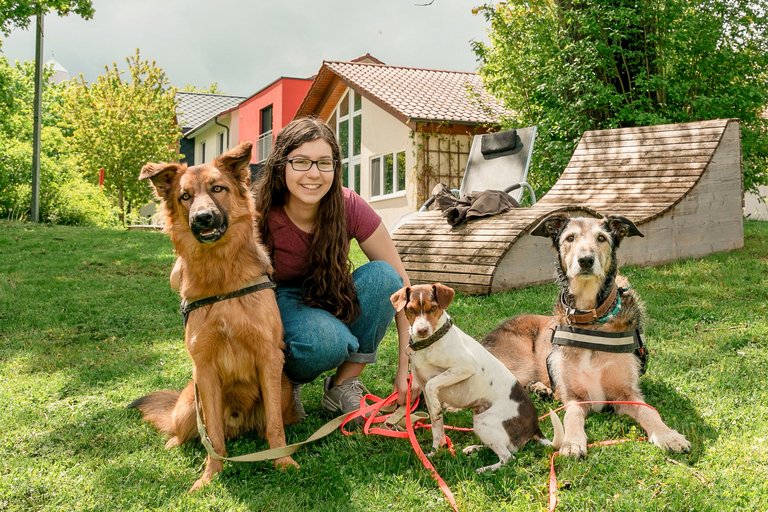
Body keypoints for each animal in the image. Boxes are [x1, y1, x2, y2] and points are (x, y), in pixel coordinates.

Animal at [132, 142, 300, 490]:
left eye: (217, 188)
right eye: (185, 196)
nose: (203, 218)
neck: (221, 275)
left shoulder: (269, 358)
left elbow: (274, 426)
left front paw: (283, 461)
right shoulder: (204, 369)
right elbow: (214, 437)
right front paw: (211, 475)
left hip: (284, 389)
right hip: (188, 401)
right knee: (186, 430)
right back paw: (174, 442)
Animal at [390, 284, 560, 472]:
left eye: (433, 308)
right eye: (411, 309)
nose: (421, 330)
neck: (431, 344)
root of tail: (535, 427)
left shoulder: (465, 367)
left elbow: (433, 384)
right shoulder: (426, 392)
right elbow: (437, 429)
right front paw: (434, 453)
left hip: (483, 422)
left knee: (508, 457)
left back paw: (484, 469)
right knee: (505, 447)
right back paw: (474, 449)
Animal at [480, 214, 688, 458]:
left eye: (602, 238)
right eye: (570, 238)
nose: (586, 260)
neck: (591, 321)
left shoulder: (626, 395)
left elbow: (649, 412)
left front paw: (668, 435)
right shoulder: (574, 398)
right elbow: (572, 417)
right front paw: (572, 442)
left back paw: (541, 389)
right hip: (517, 366)